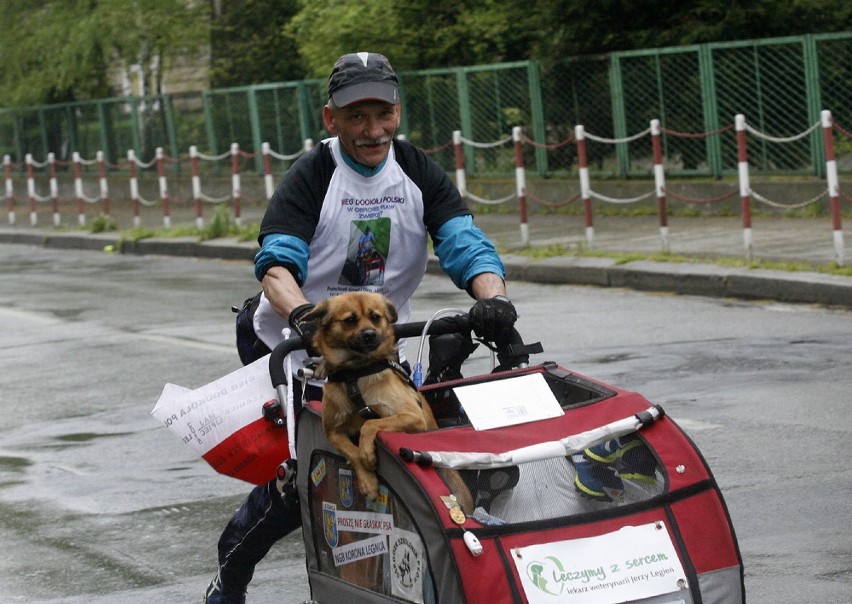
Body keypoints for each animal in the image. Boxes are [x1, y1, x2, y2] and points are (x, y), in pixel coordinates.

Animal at [310, 290, 476, 512]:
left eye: (375, 317)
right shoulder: (332, 432)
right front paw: (368, 480)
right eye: (350, 320)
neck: (355, 372)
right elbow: (352, 452)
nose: (370, 334)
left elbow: (370, 424)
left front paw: (367, 453)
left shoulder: (412, 417)